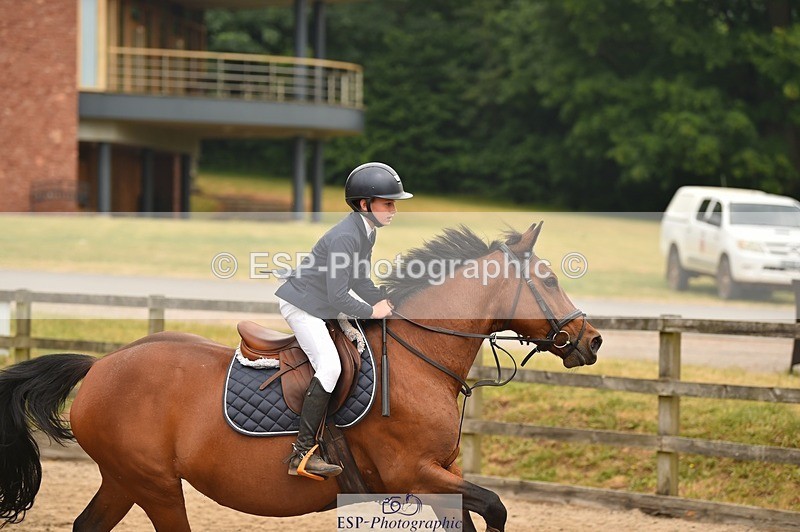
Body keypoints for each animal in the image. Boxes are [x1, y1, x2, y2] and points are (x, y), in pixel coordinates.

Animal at [0, 222, 602, 532]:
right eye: (549, 280)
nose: (592, 340)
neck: (419, 360)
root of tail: (100, 365)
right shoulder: (413, 473)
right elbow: (496, 506)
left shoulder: (438, 479)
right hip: (154, 484)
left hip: (125, 479)